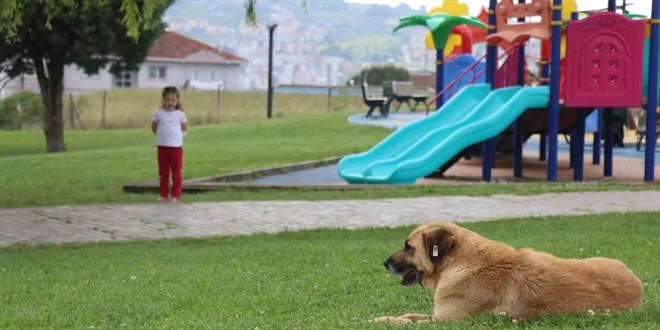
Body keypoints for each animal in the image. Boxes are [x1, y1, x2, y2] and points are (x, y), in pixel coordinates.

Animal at [374, 220, 640, 324]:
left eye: (408, 247)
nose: (384, 263)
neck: (458, 261)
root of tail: (637, 284)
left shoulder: (444, 321)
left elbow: (404, 321)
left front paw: (382, 321)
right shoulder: (437, 316)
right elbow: (408, 315)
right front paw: (381, 317)